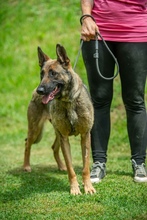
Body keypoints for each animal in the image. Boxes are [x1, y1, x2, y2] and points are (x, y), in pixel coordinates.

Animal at [23, 43, 96, 195]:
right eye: (42, 74)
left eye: (53, 73)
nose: (40, 91)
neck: (69, 101)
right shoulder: (65, 138)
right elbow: (71, 168)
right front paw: (74, 188)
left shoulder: (85, 136)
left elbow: (85, 167)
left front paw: (88, 187)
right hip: (36, 129)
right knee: (27, 143)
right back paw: (26, 166)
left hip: (57, 133)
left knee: (53, 147)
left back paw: (61, 166)